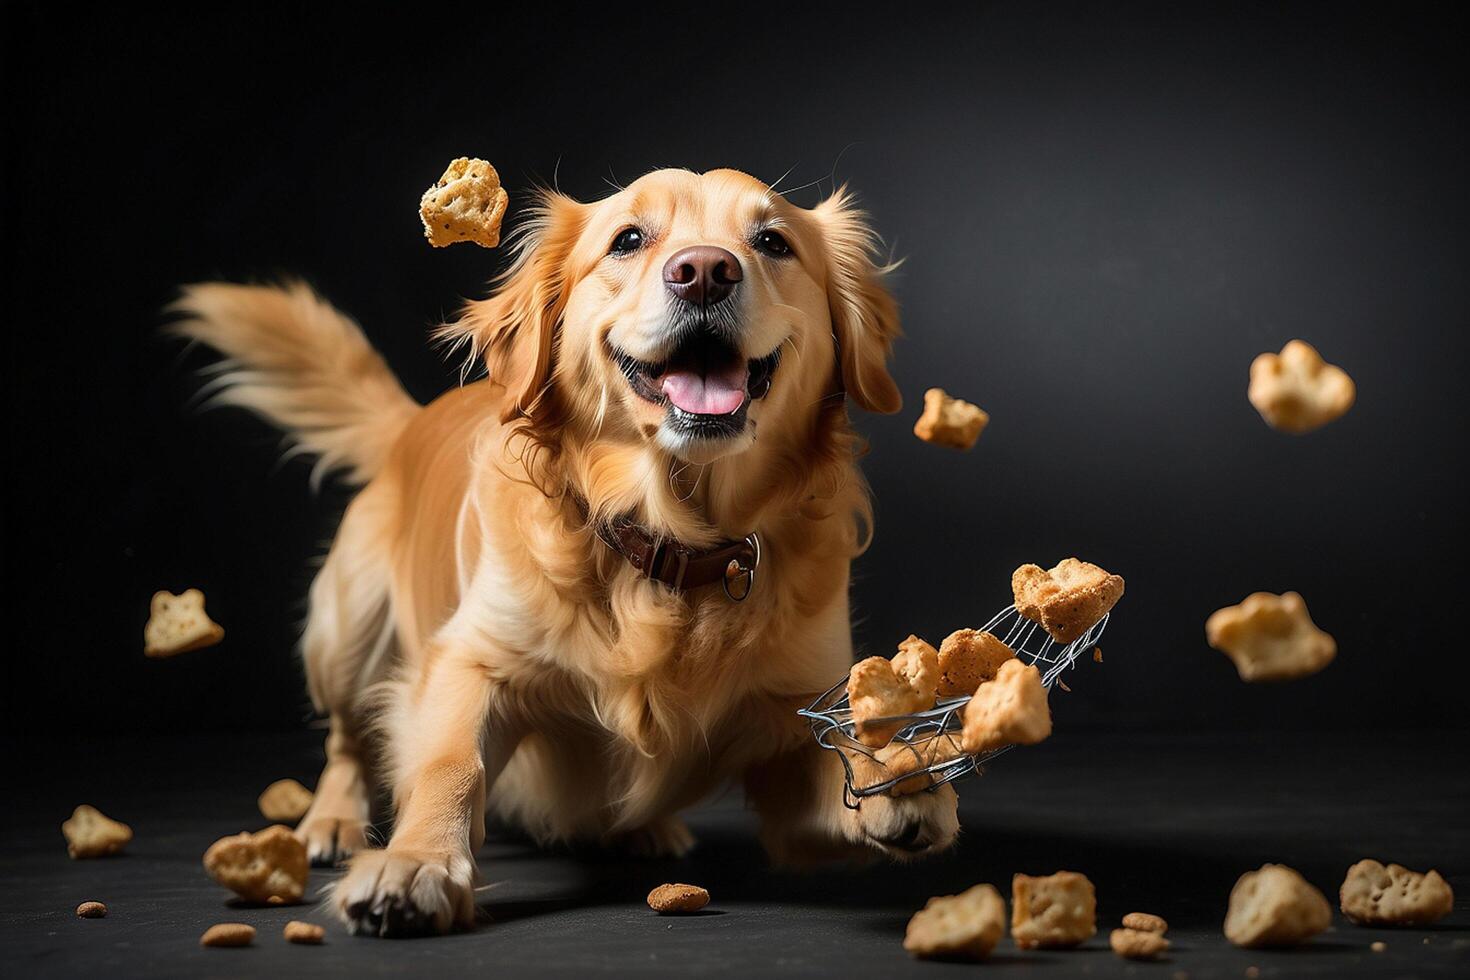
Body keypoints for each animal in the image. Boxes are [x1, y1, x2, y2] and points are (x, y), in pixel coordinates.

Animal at [171, 166, 958, 934]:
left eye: (772, 242)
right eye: (628, 239)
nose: (704, 272)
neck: (673, 546)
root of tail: (411, 422)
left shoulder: (790, 725)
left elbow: (835, 767)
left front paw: (899, 774)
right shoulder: (471, 658)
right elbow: (450, 764)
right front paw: (416, 863)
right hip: (348, 627)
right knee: (345, 739)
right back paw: (331, 822)